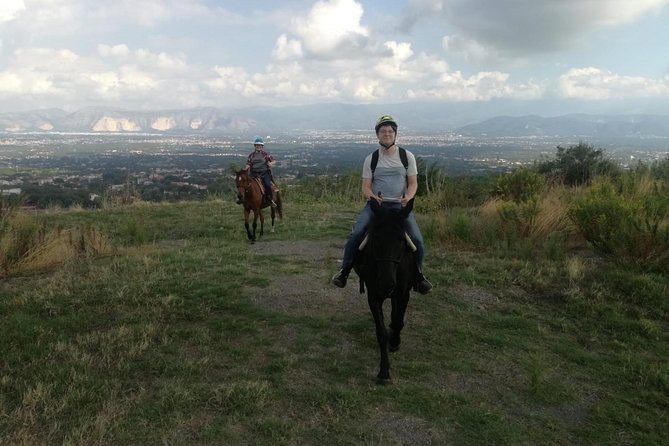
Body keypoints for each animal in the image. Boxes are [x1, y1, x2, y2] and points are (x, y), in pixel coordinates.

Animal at [352, 199, 414, 384]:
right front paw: (384, 372)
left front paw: (394, 342)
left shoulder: (404, 294)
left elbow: (399, 322)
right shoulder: (374, 296)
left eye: (401, 239)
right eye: (376, 238)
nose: (386, 283)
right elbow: (381, 333)